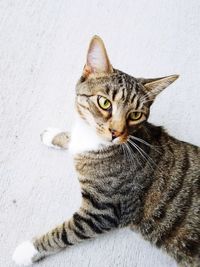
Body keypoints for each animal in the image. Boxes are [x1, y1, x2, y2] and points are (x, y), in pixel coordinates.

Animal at [12, 36, 200, 267]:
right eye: (104, 102)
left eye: (135, 115)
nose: (116, 132)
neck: (93, 142)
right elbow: (70, 137)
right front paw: (53, 135)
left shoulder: (102, 212)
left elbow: (63, 233)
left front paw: (27, 250)